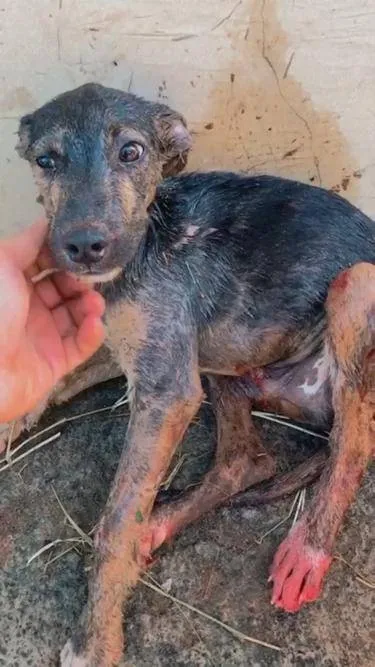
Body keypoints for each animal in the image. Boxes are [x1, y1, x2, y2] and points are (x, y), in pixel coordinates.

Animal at [10, 85, 374, 667]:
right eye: (47, 160)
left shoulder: (166, 390)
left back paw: (307, 550)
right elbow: (53, 381)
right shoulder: (125, 346)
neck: (146, 243)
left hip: (355, 286)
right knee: (247, 461)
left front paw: (96, 640)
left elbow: (117, 522)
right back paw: (161, 522)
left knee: (352, 444)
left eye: (131, 152)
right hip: (224, 354)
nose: (85, 246)